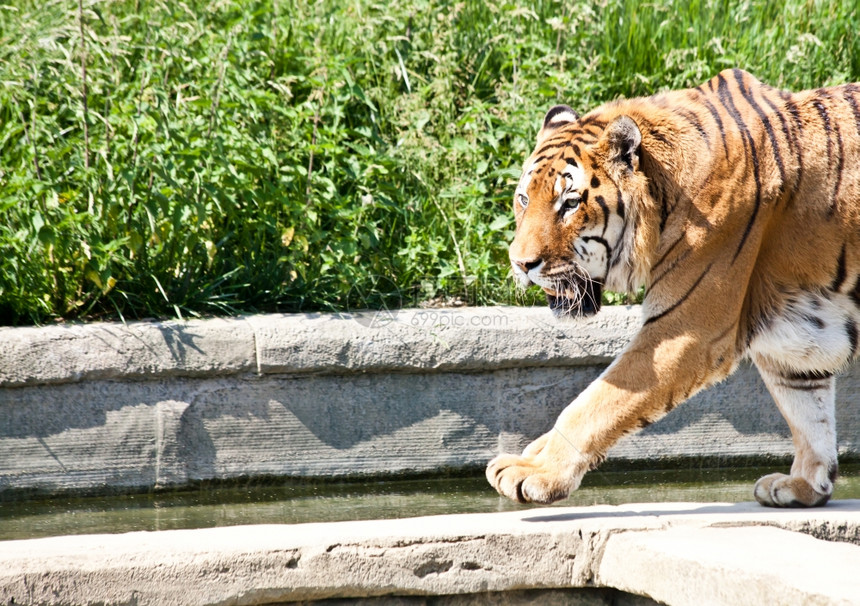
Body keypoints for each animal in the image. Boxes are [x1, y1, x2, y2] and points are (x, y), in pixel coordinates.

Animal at [484, 69, 860, 508]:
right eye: (524, 199)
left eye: (570, 203)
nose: (521, 264)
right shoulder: (795, 335)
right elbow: (808, 411)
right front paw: (804, 485)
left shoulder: (683, 332)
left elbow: (594, 404)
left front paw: (536, 471)